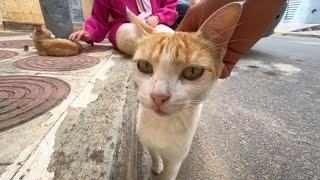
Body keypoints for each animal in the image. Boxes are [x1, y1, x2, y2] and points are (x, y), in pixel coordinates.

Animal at [127, 2, 242, 180]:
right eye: (144, 65)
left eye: (193, 71)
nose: (158, 96)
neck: (161, 125)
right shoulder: (147, 141)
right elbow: (153, 153)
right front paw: (156, 165)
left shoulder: (175, 160)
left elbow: (168, 174)